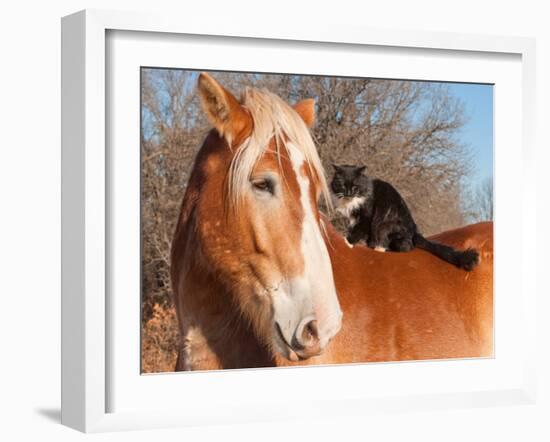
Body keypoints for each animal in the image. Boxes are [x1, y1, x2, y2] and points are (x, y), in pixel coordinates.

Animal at [330, 164, 480, 272]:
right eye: (343, 185)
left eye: (355, 186)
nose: (349, 193)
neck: (350, 202)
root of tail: (415, 231)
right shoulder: (353, 219)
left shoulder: (366, 217)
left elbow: (356, 232)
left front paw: (346, 242)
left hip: (384, 225)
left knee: (404, 247)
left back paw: (380, 248)